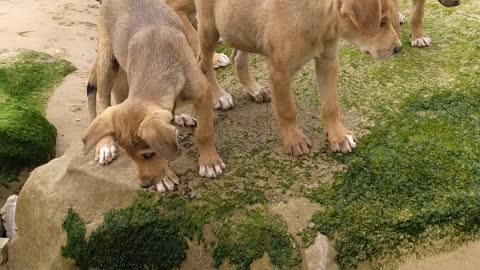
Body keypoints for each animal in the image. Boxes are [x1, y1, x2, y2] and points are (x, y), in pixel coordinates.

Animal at [84, 0, 225, 192]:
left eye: (148, 155)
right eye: (130, 156)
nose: (144, 185)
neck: (155, 63)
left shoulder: (203, 93)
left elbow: (203, 132)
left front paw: (210, 162)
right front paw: (163, 178)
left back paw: (181, 116)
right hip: (108, 59)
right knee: (103, 103)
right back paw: (105, 145)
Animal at [195, 0, 402, 156]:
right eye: (382, 22)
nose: (398, 49)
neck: (319, 22)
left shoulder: (328, 62)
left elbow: (331, 105)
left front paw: (339, 136)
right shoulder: (279, 73)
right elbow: (287, 110)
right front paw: (294, 140)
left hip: (240, 26)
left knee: (238, 58)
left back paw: (255, 89)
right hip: (208, 28)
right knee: (203, 64)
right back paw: (218, 95)